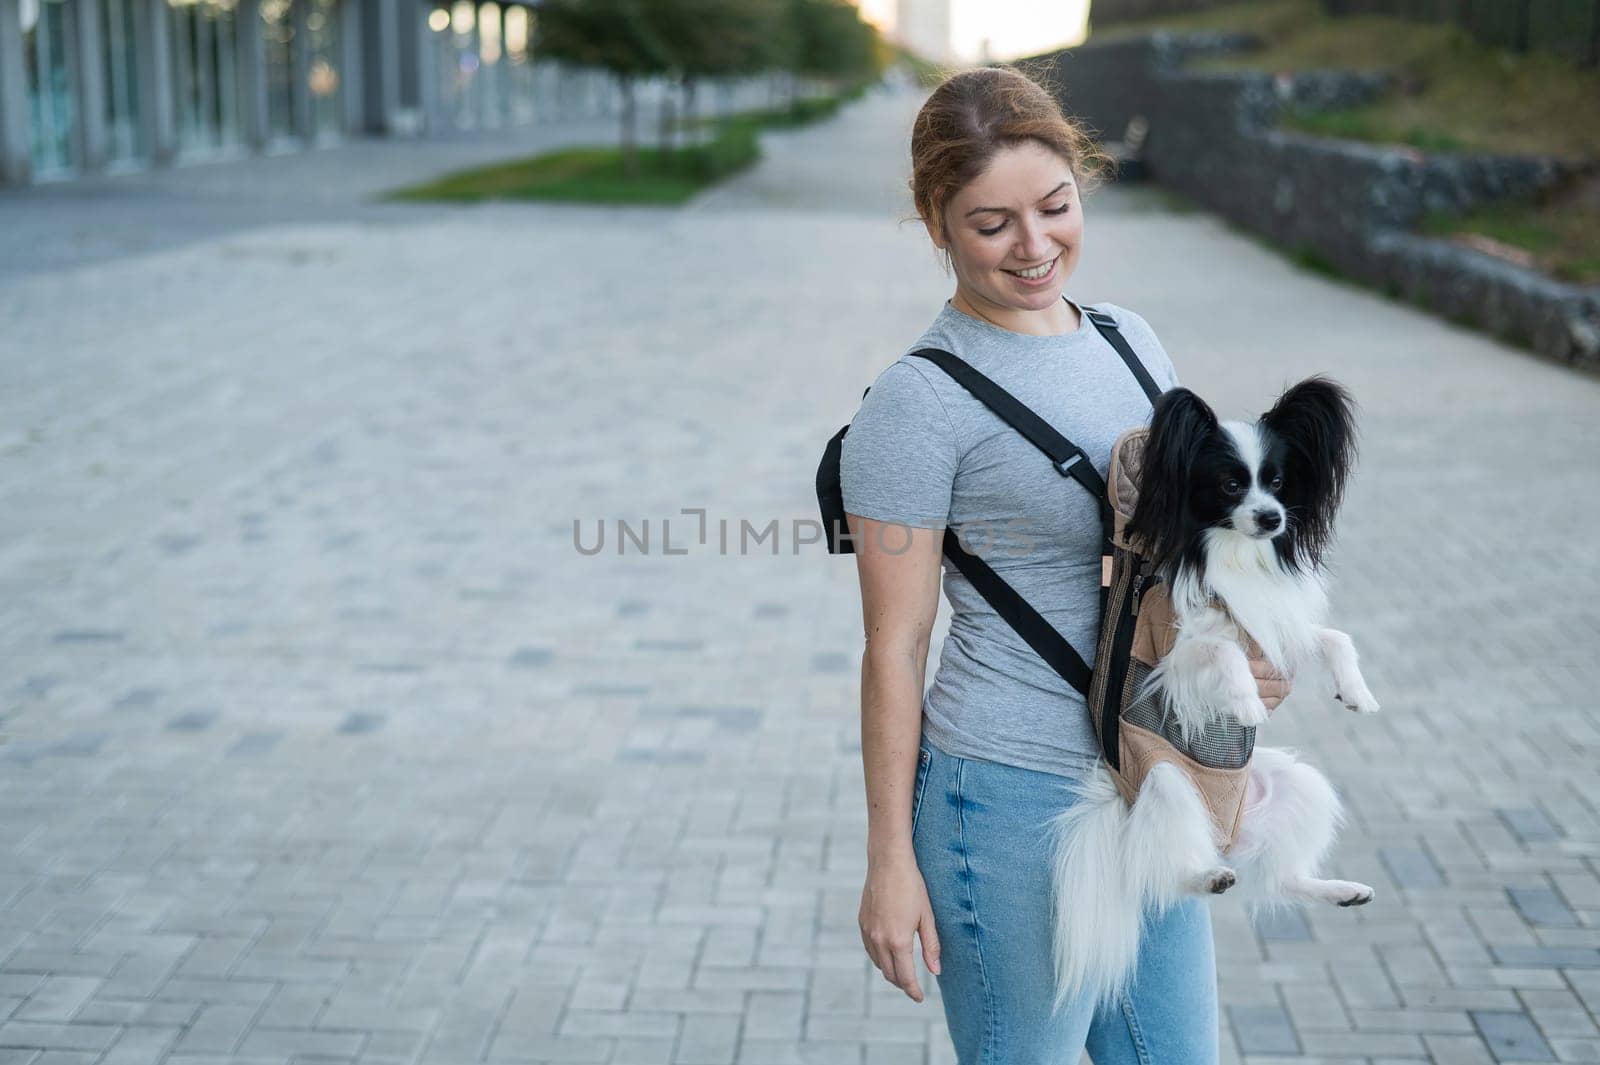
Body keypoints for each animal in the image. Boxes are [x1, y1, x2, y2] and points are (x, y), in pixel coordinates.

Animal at [1049, 377, 1376, 1010]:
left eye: (1279, 482)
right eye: (1230, 484)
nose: (1272, 518)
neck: (1234, 554)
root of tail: (1225, 838)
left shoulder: (1275, 630)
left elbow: (1331, 636)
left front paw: (1356, 692)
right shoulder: (1175, 659)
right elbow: (1223, 653)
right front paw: (1246, 701)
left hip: (1296, 784)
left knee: (1280, 877)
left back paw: (1339, 889)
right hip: (1167, 784)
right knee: (1161, 872)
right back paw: (1207, 875)